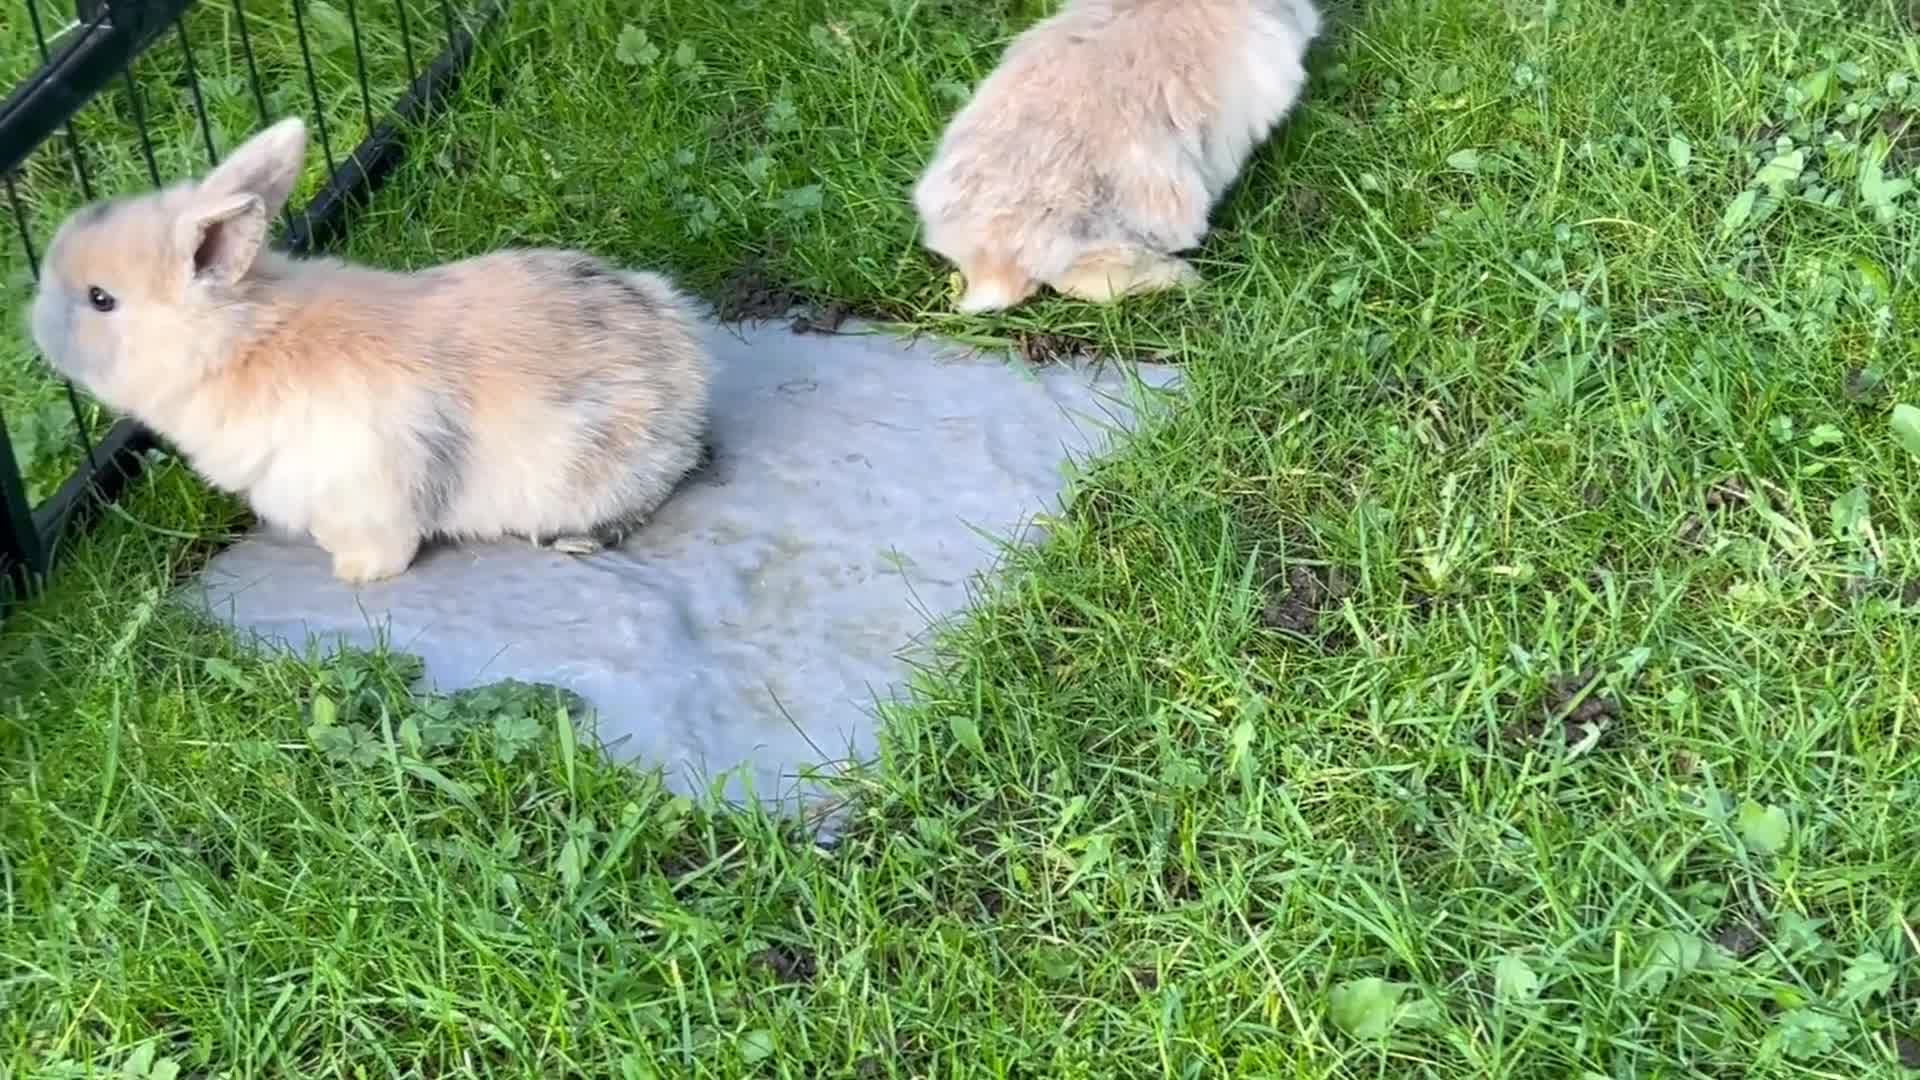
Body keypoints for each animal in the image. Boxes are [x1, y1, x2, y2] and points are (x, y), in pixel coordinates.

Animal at [28, 114, 713, 585]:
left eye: (100, 299)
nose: (34, 326)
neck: (240, 343)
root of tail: (689, 378)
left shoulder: (362, 483)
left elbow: (385, 542)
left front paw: (355, 574)